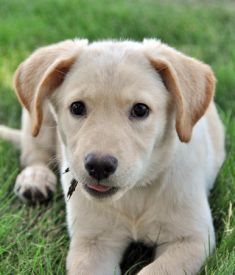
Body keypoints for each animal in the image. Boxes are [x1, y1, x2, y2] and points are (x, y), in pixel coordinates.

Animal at [0, 39, 225, 275]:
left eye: (140, 109)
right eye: (77, 107)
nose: (99, 166)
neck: (135, 193)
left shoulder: (191, 239)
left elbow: (154, 270)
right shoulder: (93, 242)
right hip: (37, 117)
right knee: (34, 155)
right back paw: (34, 180)